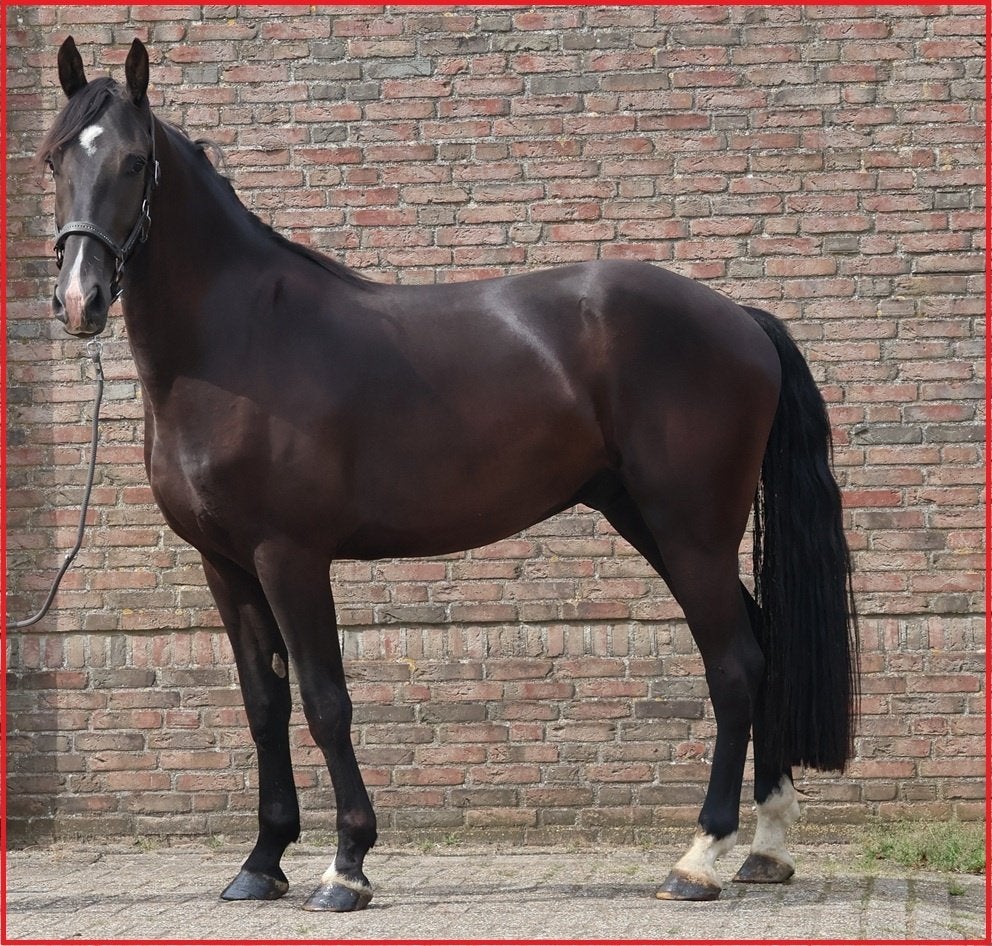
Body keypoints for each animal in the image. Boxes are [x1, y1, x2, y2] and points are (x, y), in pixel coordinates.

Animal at [39, 37, 858, 910]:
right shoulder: (224, 564)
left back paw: (700, 855)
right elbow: (263, 704)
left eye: (133, 161)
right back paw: (766, 846)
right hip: (651, 522)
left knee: (735, 663)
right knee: (761, 642)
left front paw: (347, 866)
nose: (80, 300)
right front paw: (261, 862)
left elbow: (325, 700)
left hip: (691, 531)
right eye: (55, 158)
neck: (239, 341)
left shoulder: (290, 556)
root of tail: (743, 320)